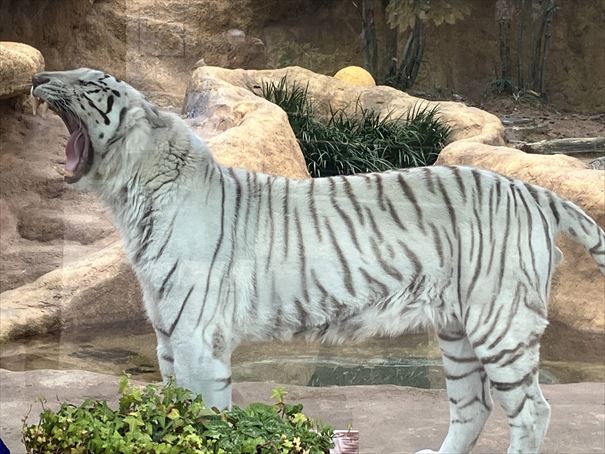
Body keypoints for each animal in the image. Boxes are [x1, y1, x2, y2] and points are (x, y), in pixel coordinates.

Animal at [31, 68, 604, 454]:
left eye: (90, 84)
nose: (38, 76)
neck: (131, 195)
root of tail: (532, 190)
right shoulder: (169, 336)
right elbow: (176, 411)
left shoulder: (196, 335)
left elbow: (204, 418)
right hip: (458, 328)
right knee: (472, 405)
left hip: (499, 322)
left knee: (532, 411)